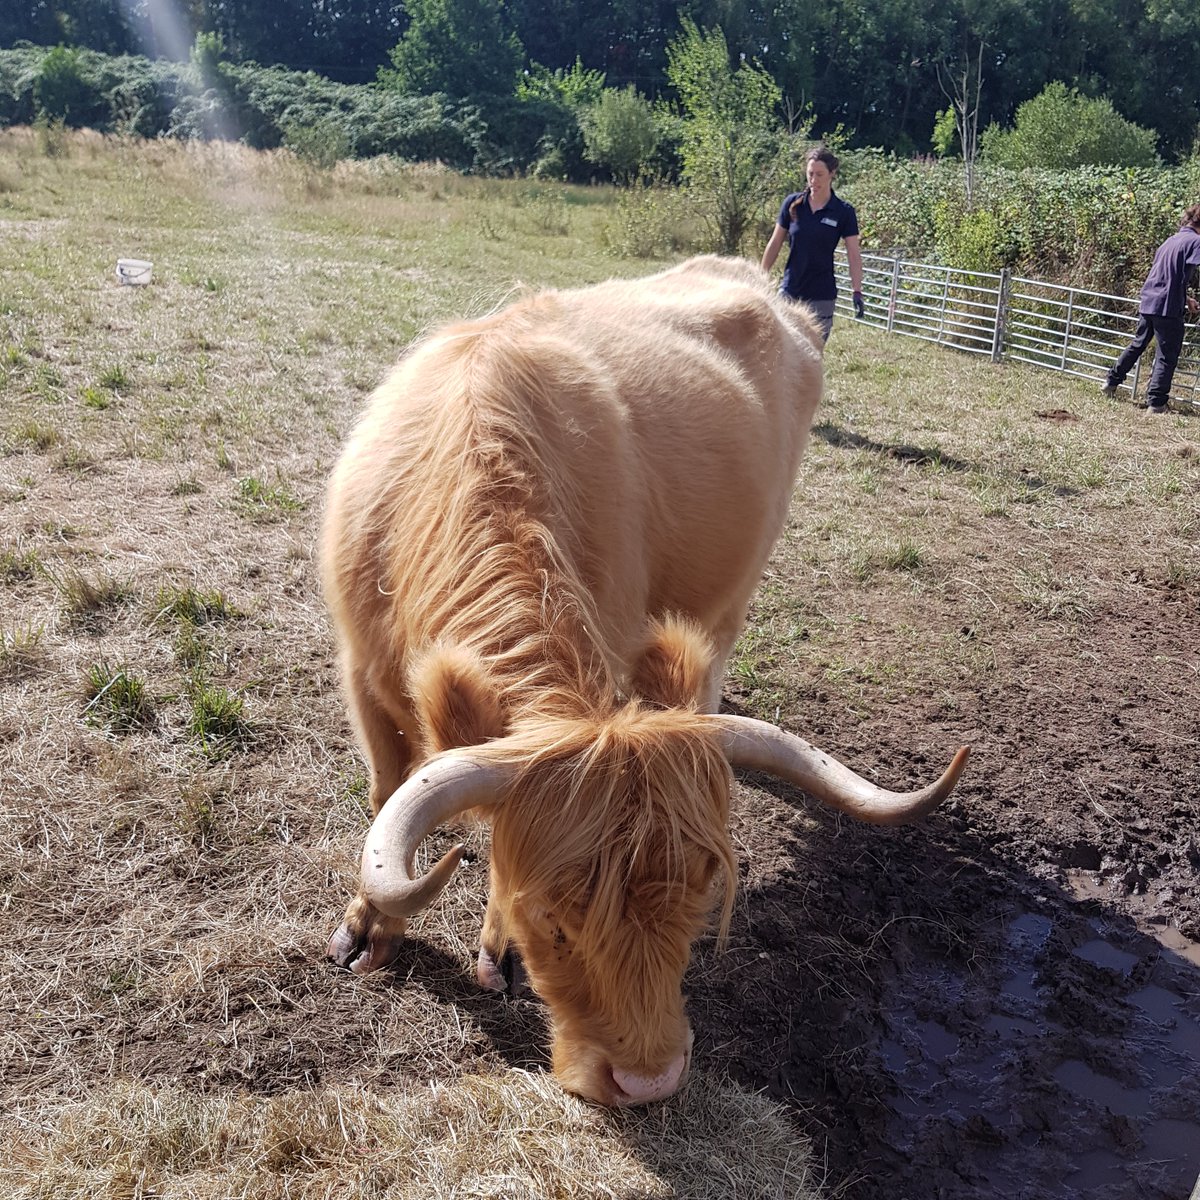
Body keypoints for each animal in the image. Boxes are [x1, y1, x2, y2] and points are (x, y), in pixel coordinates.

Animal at [322, 255, 968, 1107]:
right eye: (555, 919)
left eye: (699, 899)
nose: (650, 1079)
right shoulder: (362, 674)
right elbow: (387, 792)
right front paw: (368, 930)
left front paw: (494, 948)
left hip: (740, 578)